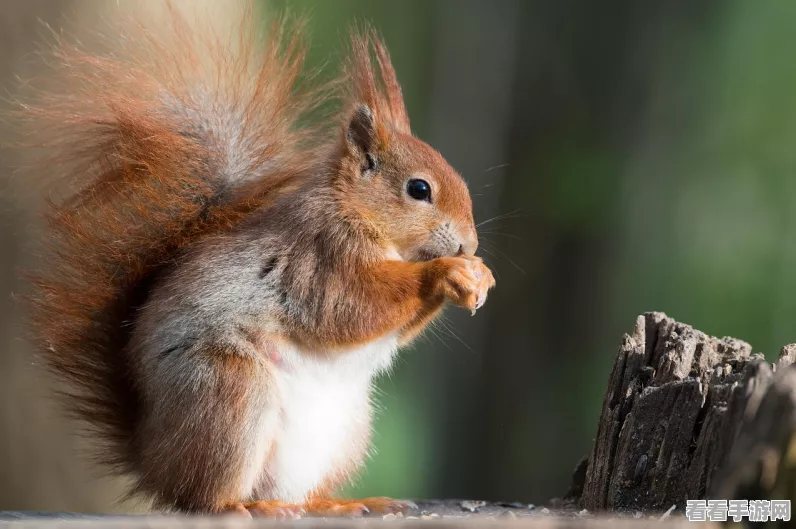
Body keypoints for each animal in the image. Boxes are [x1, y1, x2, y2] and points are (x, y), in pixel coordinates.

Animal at [15, 2, 494, 516]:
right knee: (203, 496)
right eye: (419, 189)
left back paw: (334, 503)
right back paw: (242, 505)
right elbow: (349, 308)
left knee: (292, 492)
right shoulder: (319, 254)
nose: (468, 245)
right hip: (230, 389)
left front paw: (479, 275)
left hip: (347, 431)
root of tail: (153, 459)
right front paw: (445, 271)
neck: (358, 213)